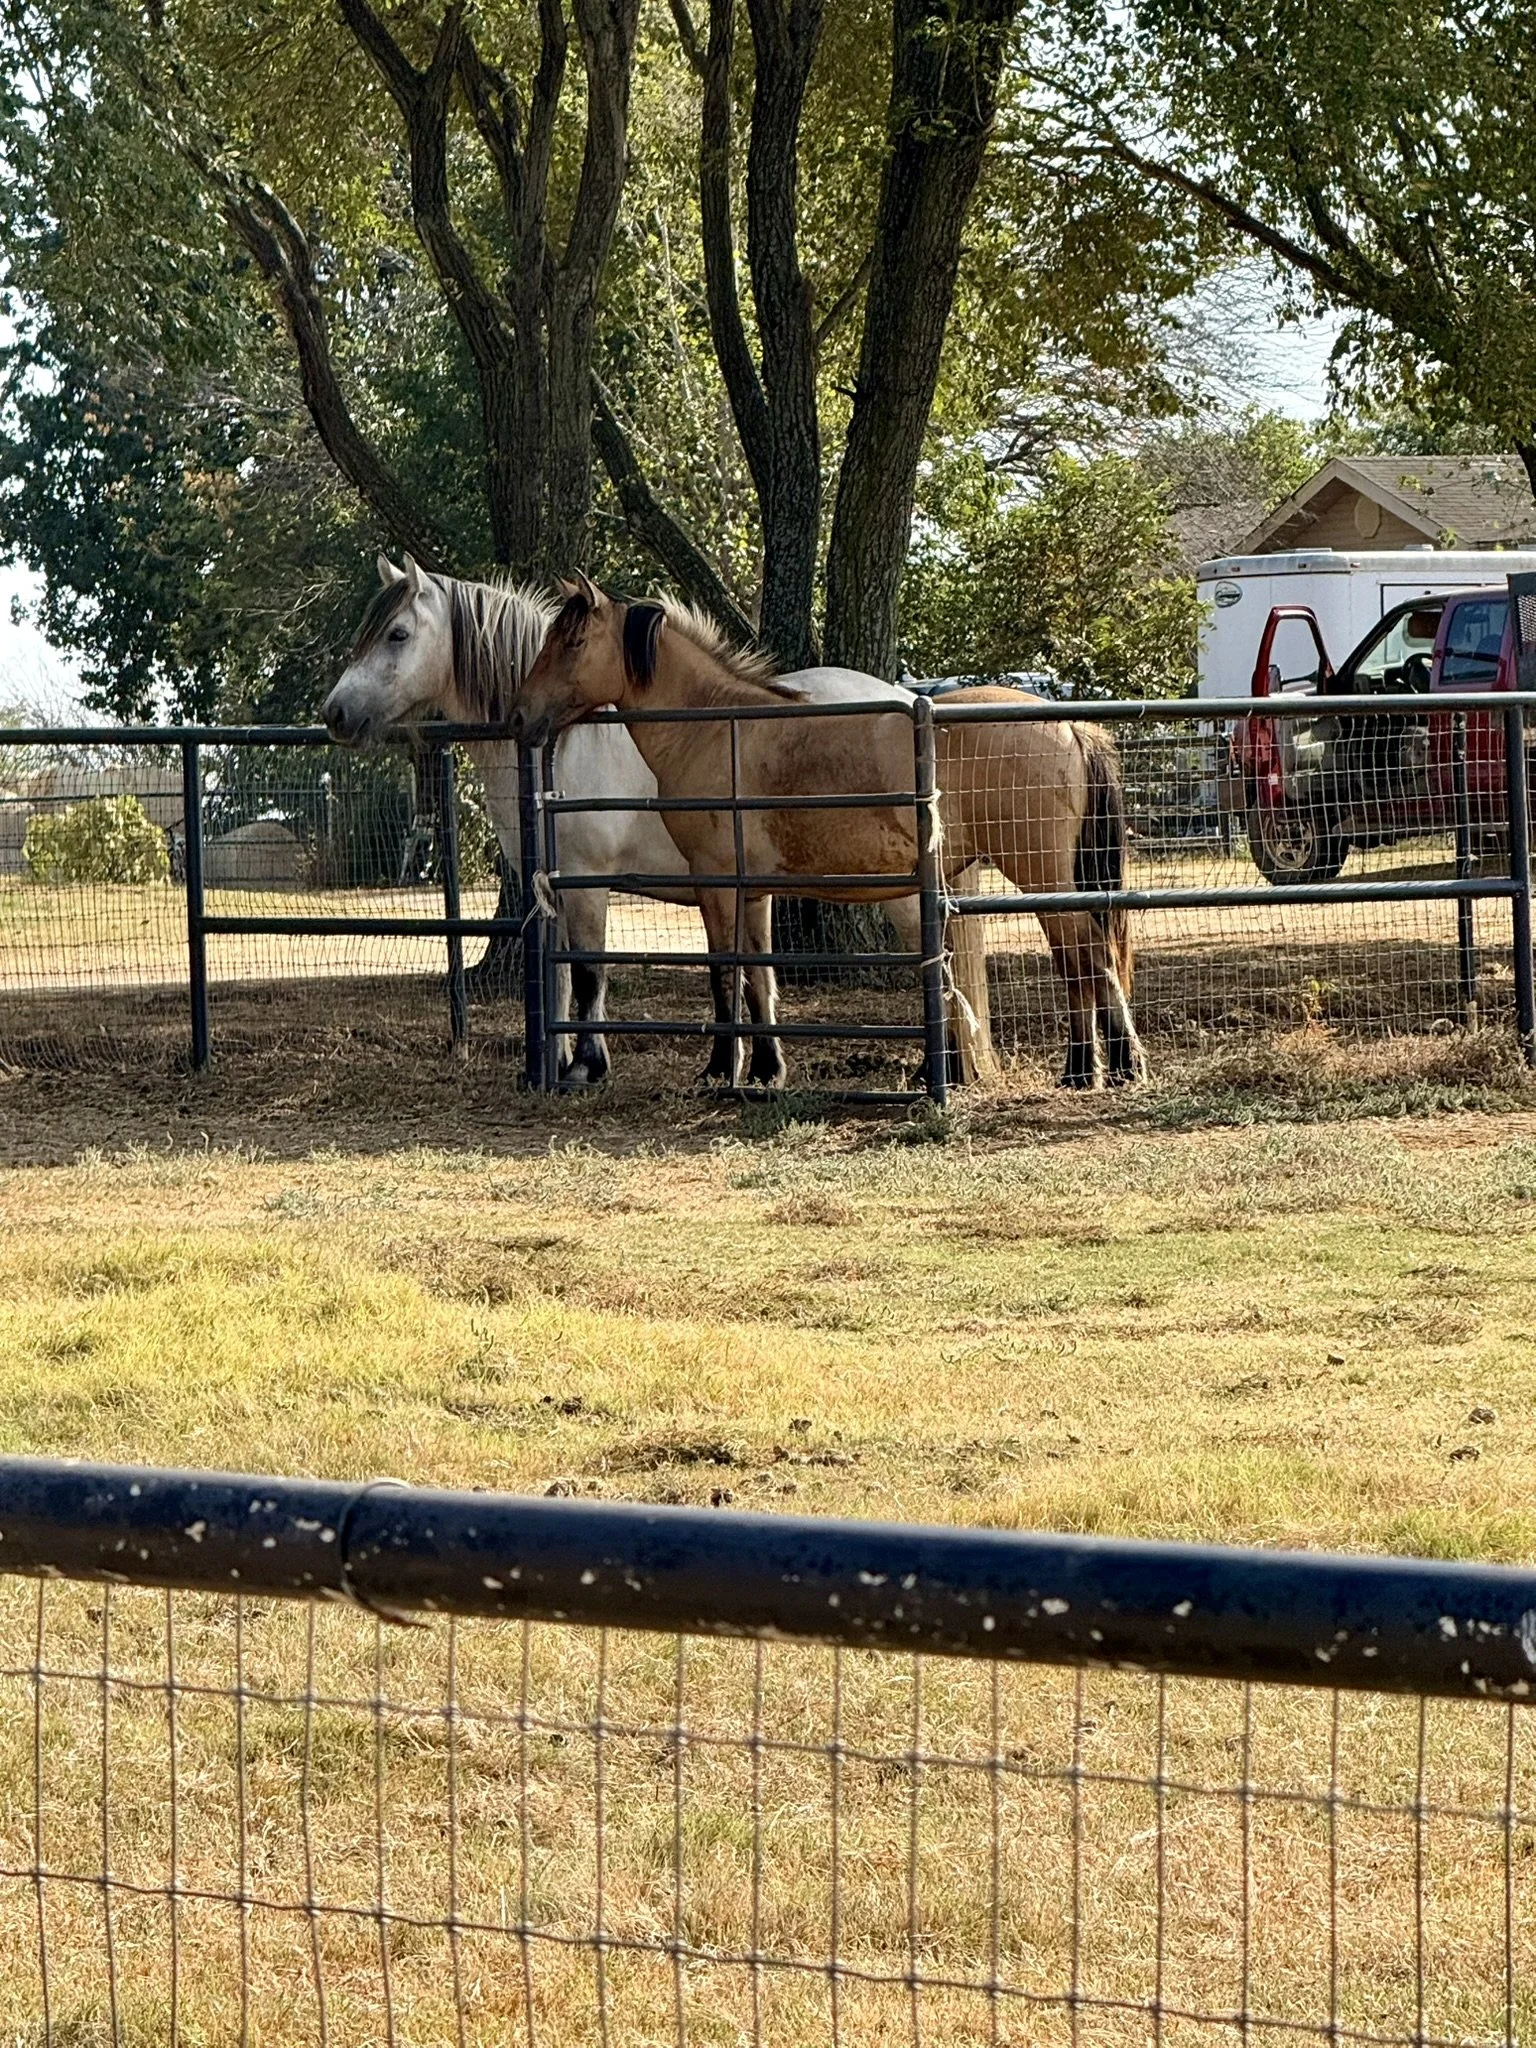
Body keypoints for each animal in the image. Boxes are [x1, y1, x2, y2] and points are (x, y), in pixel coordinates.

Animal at [321, 556, 973, 1086]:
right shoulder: (556, 887)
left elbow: (590, 974)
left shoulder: (590, 883)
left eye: (398, 634)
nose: (335, 713)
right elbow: (566, 978)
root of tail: (912, 702)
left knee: (935, 960)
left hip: (898, 890)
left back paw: (936, 1069)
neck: (564, 746)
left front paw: (588, 1064)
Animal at [515, 578, 1146, 1090]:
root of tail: (1068, 724)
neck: (719, 729)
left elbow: (724, 975)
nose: (523, 718)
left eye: (572, 642)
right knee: (1083, 961)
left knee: (1086, 958)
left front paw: (719, 1072)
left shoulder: (715, 885)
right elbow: (757, 978)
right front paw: (765, 1071)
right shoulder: (753, 892)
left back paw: (1102, 1067)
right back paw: (1093, 1069)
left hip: (1038, 874)